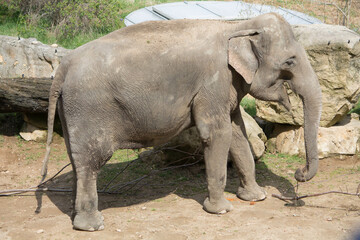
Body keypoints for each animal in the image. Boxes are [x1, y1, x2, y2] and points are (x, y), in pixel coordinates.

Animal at [41, 12, 320, 231]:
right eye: (290, 61)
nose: (299, 174)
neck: (235, 26)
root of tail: (62, 67)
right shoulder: (214, 81)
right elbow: (217, 134)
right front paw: (220, 210)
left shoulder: (228, 85)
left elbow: (238, 133)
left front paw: (256, 197)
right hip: (89, 107)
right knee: (92, 160)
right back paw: (92, 225)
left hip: (70, 109)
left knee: (76, 158)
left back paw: (76, 215)